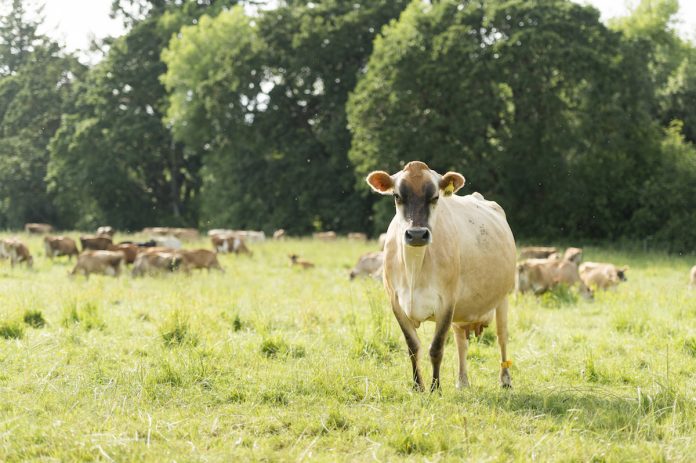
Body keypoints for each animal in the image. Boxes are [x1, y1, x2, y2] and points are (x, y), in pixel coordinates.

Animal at [367, 161, 516, 390]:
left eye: (435, 197)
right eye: (397, 196)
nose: (417, 234)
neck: (415, 268)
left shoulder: (447, 302)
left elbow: (436, 348)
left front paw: (435, 388)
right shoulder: (396, 303)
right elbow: (413, 347)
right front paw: (417, 386)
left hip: (503, 298)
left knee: (502, 337)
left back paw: (505, 379)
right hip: (462, 309)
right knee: (461, 342)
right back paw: (462, 381)